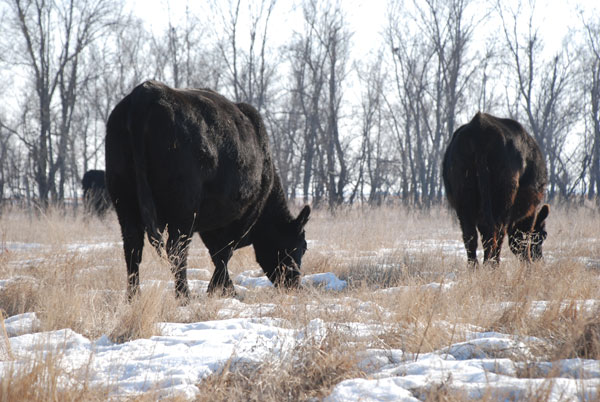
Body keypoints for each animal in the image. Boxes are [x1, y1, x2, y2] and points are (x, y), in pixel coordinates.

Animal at [105, 81, 310, 298]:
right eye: (302, 246)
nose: (295, 283)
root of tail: (147, 91)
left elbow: (217, 254)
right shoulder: (243, 217)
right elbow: (223, 253)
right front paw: (221, 290)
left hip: (125, 200)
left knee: (132, 248)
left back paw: (133, 296)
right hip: (183, 209)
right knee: (176, 250)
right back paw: (184, 296)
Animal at [440, 112, 548, 264]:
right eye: (543, 235)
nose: (540, 259)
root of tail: (480, 127)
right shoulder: (529, 212)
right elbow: (523, 240)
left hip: (464, 199)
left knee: (470, 236)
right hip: (502, 200)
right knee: (496, 233)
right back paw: (492, 264)